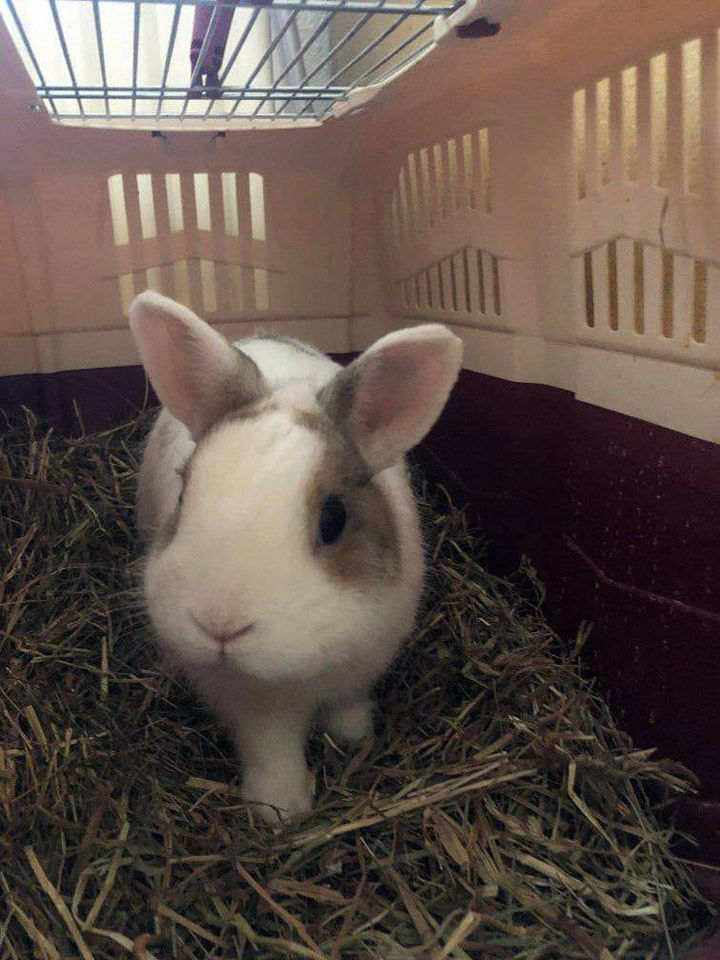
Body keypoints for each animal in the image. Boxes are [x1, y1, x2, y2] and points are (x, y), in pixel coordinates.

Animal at [129, 291, 463, 822]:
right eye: (183, 494)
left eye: (334, 519)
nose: (219, 625)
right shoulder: (255, 707)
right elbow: (274, 751)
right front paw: (280, 811)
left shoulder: (364, 664)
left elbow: (347, 705)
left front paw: (354, 736)